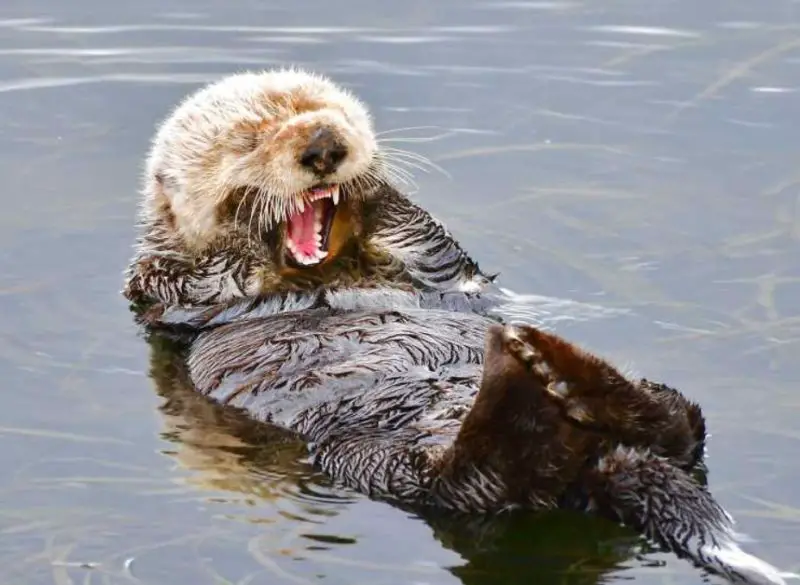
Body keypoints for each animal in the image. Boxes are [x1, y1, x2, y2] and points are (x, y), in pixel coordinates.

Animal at [123, 68, 795, 585]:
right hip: (382, 463)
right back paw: (534, 373)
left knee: (680, 421)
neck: (333, 271)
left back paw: (557, 366)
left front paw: (377, 187)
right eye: (247, 138)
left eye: (338, 114)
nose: (323, 143)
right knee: (478, 483)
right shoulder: (172, 288)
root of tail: (606, 457)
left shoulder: (437, 271)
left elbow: (431, 244)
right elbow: (208, 276)